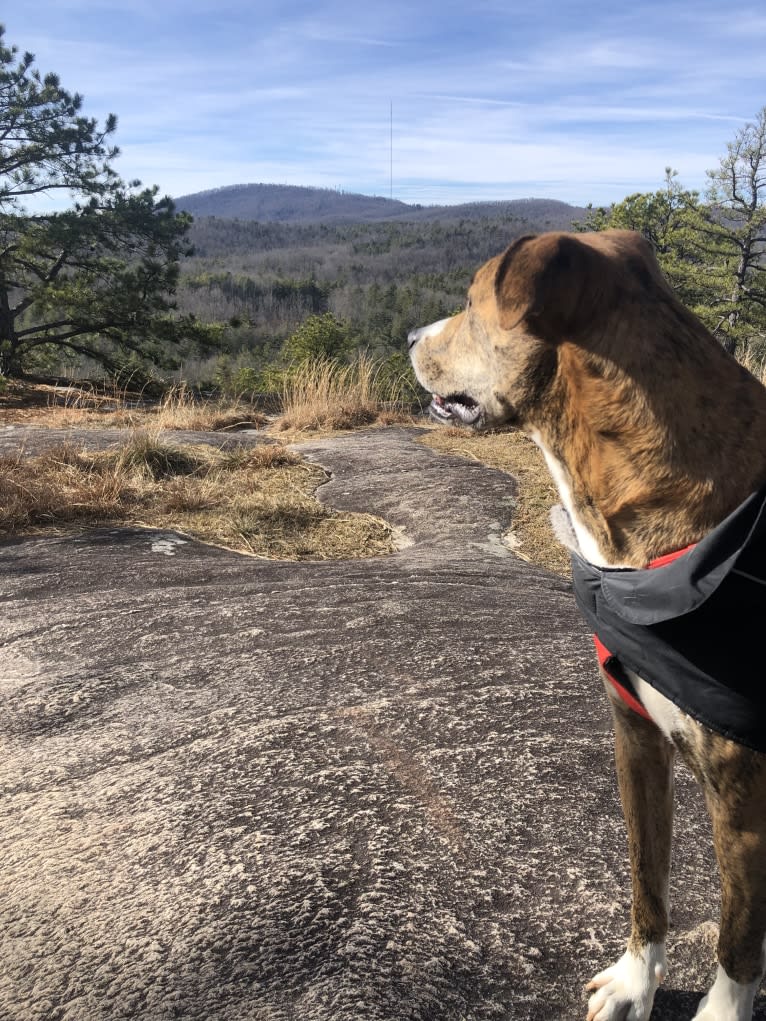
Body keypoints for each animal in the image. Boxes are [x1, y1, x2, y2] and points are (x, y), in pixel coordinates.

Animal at [410, 231, 766, 1021]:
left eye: (472, 302)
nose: (410, 336)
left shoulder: (745, 789)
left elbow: (738, 940)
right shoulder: (634, 737)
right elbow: (646, 876)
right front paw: (637, 982)